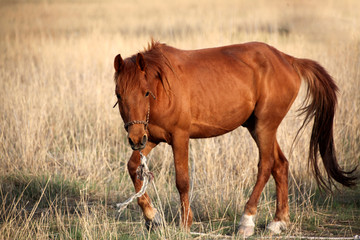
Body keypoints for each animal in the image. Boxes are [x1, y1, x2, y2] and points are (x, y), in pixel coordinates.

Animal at [113, 40, 358, 236]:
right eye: (119, 94)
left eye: (145, 92)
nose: (135, 139)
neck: (163, 88)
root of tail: (288, 60)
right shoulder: (152, 137)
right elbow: (133, 167)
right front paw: (152, 217)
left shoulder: (180, 137)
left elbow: (182, 181)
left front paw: (184, 223)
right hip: (256, 127)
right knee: (280, 164)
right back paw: (278, 222)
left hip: (265, 127)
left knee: (266, 165)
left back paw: (247, 220)